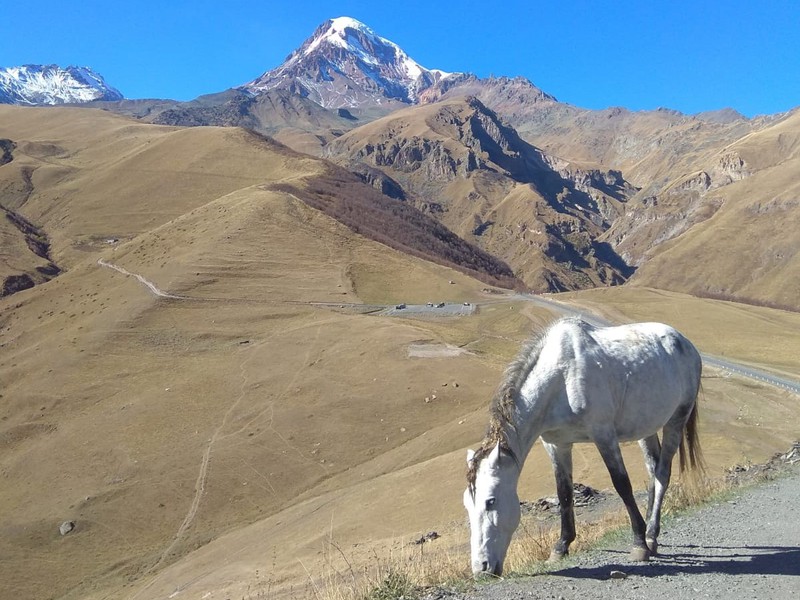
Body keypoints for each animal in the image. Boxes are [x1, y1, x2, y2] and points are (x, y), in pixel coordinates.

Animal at [462, 318, 700, 576]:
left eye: (491, 501)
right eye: (467, 505)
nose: (481, 568)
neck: (561, 377)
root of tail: (685, 342)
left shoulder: (604, 435)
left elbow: (622, 484)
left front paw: (638, 545)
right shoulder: (556, 444)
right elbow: (564, 493)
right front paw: (560, 547)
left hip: (676, 419)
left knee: (662, 474)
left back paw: (649, 535)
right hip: (646, 428)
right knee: (653, 471)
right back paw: (650, 537)